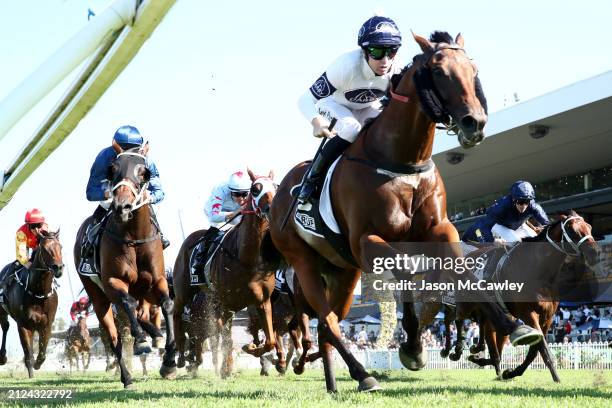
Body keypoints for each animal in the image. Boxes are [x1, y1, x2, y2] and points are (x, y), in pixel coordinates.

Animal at [0, 231, 64, 378]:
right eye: (44, 249)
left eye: (60, 247)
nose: (58, 268)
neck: (38, 292)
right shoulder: (23, 324)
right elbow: (28, 354)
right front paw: (31, 374)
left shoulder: (47, 324)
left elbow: (42, 353)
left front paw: (37, 364)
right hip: (1, 311)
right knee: (5, 326)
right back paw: (3, 357)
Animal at [73, 151, 177, 388]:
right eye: (112, 169)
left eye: (144, 172)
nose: (123, 206)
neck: (135, 237)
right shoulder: (114, 282)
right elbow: (127, 305)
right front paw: (141, 342)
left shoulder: (157, 280)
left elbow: (167, 304)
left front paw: (169, 362)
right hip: (99, 296)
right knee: (114, 336)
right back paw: (127, 376)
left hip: (142, 292)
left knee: (140, 313)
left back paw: (156, 335)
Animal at [172, 168, 280, 376]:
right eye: (256, 189)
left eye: (276, 186)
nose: (272, 208)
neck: (247, 257)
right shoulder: (224, 302)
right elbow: (225, 337)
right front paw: (226, 367)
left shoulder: (261, 301)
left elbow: (270, 340)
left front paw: (251, 348)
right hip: (184, 291)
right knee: (177, 315)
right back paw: (180, 355)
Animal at [268, 31, 540, 392]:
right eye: (439, 71)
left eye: (473, 69)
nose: (475, 123)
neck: (401, 161)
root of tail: (277, 194)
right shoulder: (365, 241)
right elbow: (408, 271)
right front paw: (412, 345)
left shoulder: (438, 229)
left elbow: (455, 269)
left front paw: (513, 325)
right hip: (304, 261)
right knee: (326, 321)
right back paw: (363, 374)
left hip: (343, 271)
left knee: (330, 323)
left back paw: (334, 383)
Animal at [464, 212, 596, 380]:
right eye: (572, 230)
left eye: (589, 227)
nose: (595, 253)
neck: (539, 272)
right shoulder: (528, 313)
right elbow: (541, 346)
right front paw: (556, 378)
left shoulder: (548, 316)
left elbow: (534, 350)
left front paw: (512, 372)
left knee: (493, 342)